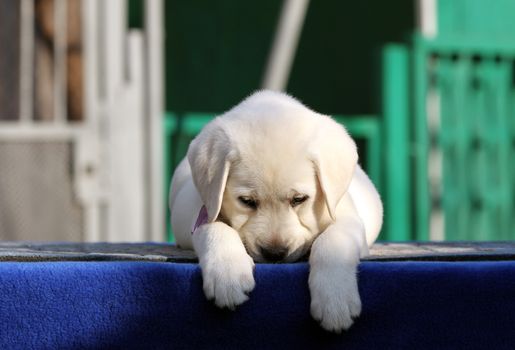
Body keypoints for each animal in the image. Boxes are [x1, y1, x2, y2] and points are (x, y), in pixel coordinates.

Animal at [169, 89, 382, 330]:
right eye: (246, 201)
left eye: (299, 199)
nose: (274, 253)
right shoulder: (203, 210)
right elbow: (216, 229)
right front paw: (228, 274)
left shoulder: (346, 217)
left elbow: (333, 242)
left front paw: (335, 300)